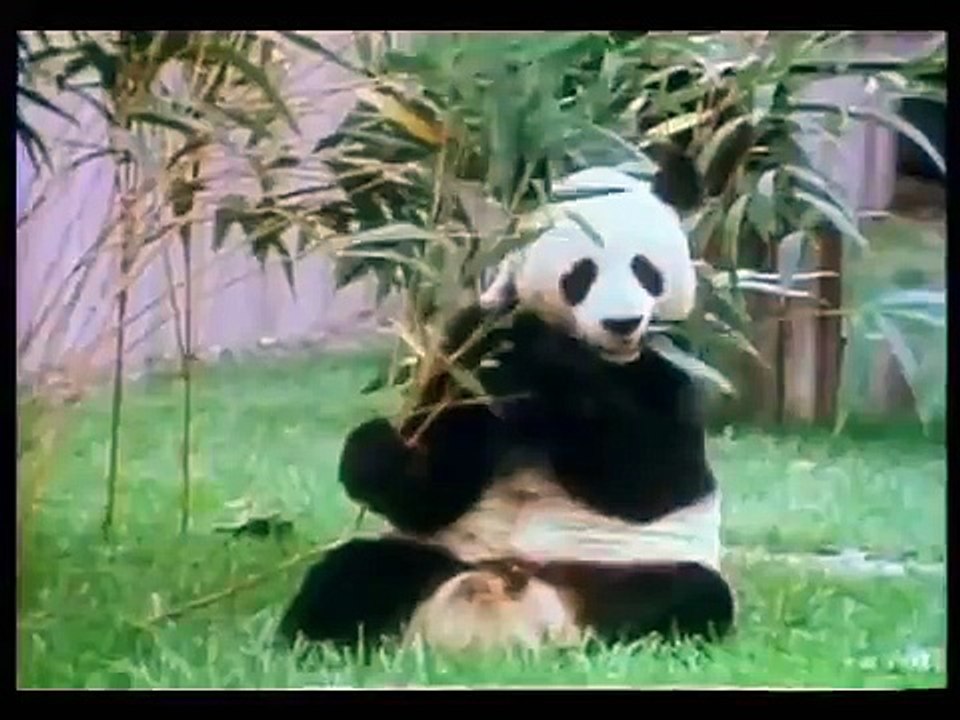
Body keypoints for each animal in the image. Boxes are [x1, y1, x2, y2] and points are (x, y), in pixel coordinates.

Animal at [276, 148, 736, 656]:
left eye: (645, 270)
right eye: (583, 273)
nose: (622, 323)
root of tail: (516, 591)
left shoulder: (675, 363)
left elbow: (651, 478)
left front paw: (559, 364)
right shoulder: (469, 352)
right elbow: (434, 486)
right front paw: (378, 451)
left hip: (627, 568)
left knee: (690, 595)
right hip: (439, 555)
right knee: (356, 573)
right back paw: (314, 642)